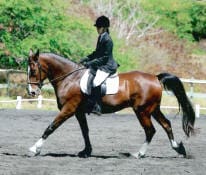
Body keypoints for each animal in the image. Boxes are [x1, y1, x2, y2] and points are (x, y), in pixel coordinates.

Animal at [27, 49, 195, 159]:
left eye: (33, 71)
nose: (32, 92)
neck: (69, 78)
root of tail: (155, 77)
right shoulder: (79, 112)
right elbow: (85, 131)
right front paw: (86, 151)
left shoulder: (69, 109)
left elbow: (51, 127)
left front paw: (35, 148)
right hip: (153, 109)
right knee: (166, 125)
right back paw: (178, 149)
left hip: (142, 111)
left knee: (150, 130)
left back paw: (139, 154)